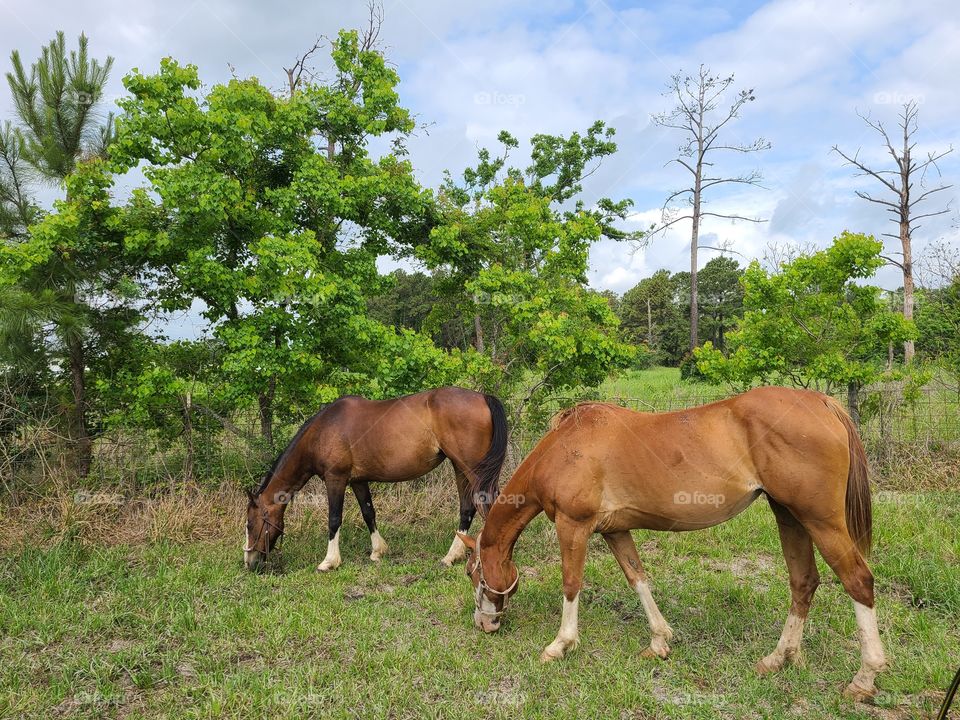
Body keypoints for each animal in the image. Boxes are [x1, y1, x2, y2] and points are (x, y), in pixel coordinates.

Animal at [244, 386, 507, 572]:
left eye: (249, 524)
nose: (249, 562)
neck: (324, 430)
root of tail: (483, 397)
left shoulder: (335, 479)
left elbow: (334, 519)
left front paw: (329, 561)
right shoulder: (358, 481)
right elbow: (368, 512)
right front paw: (378, 552)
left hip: (472, 470)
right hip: (460, 468)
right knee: (467, 509)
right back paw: (451, 556)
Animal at [458, 387, 887, 701]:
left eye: (472, 572)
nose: (484, 624)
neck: (566, 447)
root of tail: (822, 403)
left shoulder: (573, 526)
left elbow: (571, 585)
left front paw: (560, 645)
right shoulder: (614, 531)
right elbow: (638, 579)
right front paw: (659, 641)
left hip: (821, 521)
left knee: (857, 581)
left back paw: (864, 679)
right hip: (789, 515)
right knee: (803, 582)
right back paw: (778, 658)